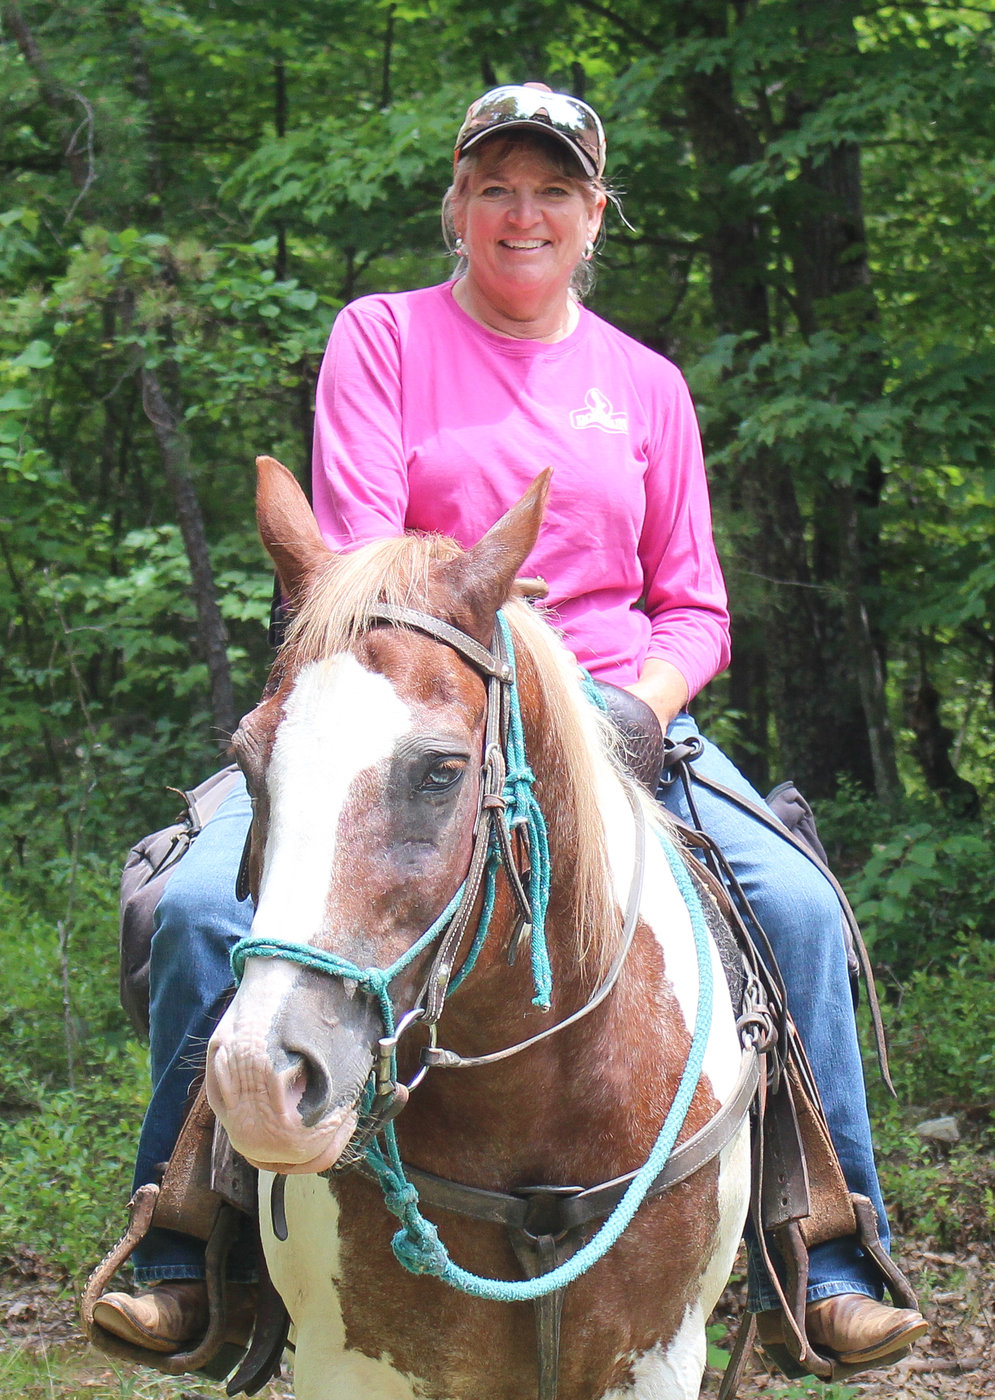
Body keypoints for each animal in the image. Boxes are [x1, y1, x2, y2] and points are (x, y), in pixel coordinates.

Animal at [208, 459, 750, 1400]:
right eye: (246, 758)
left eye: (440, 771)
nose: (256, 1079)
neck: (532, 1103)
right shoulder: (345, 1363)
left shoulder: (659, 1357)